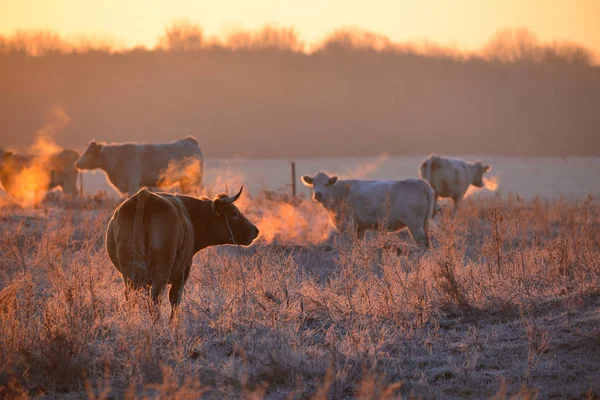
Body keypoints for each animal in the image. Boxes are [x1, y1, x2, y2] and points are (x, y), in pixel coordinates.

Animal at [106, 186, 260, 320]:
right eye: (233, 213)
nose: (255, 230)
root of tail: (145, 195)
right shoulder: (183, 272)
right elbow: (175, 299)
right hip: (161, 271)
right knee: (156, 298)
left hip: (130, 273)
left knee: (133, 298)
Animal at [302, 171, 434, 247]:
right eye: (313, 183)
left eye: (327, 184)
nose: (318, 194)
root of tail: (424, 184)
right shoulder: (360, 227)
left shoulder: (348, 223)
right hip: (424, 222)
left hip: (414, 224)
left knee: (421, 241)